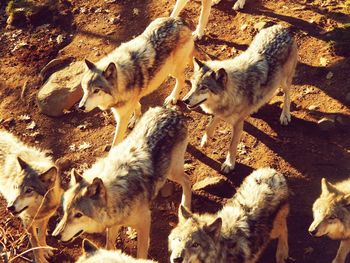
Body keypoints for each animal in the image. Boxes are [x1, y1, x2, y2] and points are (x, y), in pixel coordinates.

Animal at [0, 130, 62, 263]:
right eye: (15, 187)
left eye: (29, 190)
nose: (10, 207)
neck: (40, 209)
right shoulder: (27, 221)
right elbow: (35, 243)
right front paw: (40, 259)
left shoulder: (45, 217)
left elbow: (41, 235)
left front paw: (45, 250)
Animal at [53, 107, 193, 260]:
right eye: (65, 211)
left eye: (78, 215)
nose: (55, 236)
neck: (118, 193)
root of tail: (170, 110)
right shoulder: (114, 224)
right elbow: (109, 246)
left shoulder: (145, 222)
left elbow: (141, 254)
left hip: (173, 172)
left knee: (187, 181)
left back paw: (185, 207)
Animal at [78, 16, 194, 148]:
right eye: (84, 89)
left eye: (96, 90)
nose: (80, 107)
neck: (124, 79)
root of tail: (178, 20)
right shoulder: (133, 99)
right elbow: (137, 106)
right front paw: (136, 119)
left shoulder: (121, 117)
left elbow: (116, 142)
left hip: (173, 70)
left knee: (182, 78)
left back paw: (172, 97)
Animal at [183, 24, 298, 173]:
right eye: (192, 85)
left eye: (203, 87)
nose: (185, 100)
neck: (235, 91)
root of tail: (282, 28)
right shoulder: (221, 111)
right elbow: (210, 125)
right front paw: (205, 139)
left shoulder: (238, 124)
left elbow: (232, 145)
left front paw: (229, 164)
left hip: (284, 81)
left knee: (287, 94)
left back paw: (285, 115)